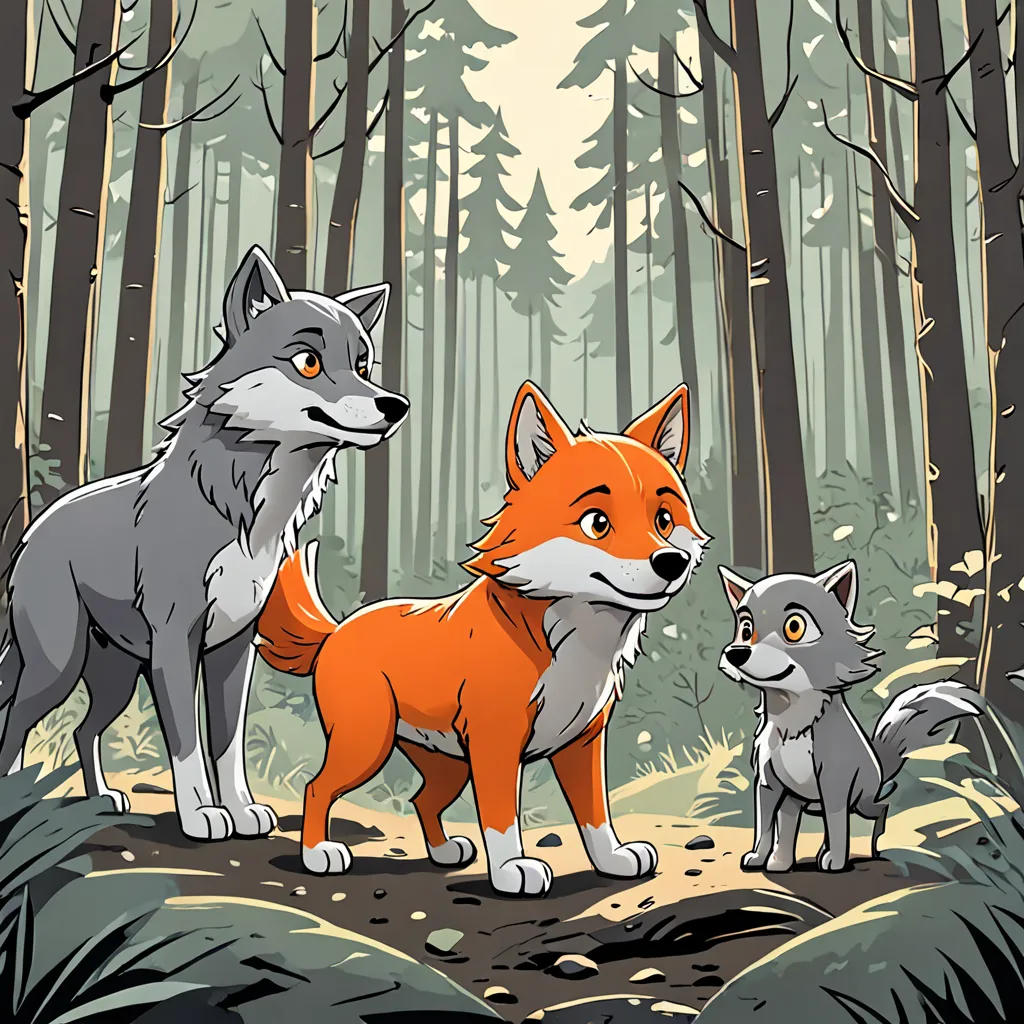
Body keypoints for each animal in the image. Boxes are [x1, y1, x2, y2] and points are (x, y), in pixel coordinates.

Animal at [0, 245, 408, 841]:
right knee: (16, 725)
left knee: (82, 730)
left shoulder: (233, 648)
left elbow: (227, 741)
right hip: (57, 666)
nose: (395, 405)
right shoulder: (176, 643)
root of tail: (33, 531)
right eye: (309, 362)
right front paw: (201, 816)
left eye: (362, 366)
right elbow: (188, 743)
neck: (242, 517)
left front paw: (240, 811)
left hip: (115, 677)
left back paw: (101, 800)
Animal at [257, 380, 709, 896]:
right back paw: (319, 855)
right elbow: (500, 818)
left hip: (446, 763)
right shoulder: (497, 742)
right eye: (597, 523)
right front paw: (513, 871)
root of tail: (338, 629)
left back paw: (443, 852)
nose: (671, 561)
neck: (570, 640)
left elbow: (595, 815)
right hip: (366, 744)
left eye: (664, 519)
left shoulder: (583, 742)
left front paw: (611, 860)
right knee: (318, 787)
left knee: (422, 800)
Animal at [717, 560, 985, 873]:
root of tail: (878, 765)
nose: (737, 653)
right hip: (798, 800)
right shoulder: (768, 783)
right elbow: (765, 827)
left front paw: (835, 862)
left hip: (860, 798)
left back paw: (870, 846)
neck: (792, 723)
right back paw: (782, 861)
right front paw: (760, 858)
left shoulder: (834, 781)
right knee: (792, 826)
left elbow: (836, 824)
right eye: (746, 629)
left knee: (878, 808)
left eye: (794, 627)